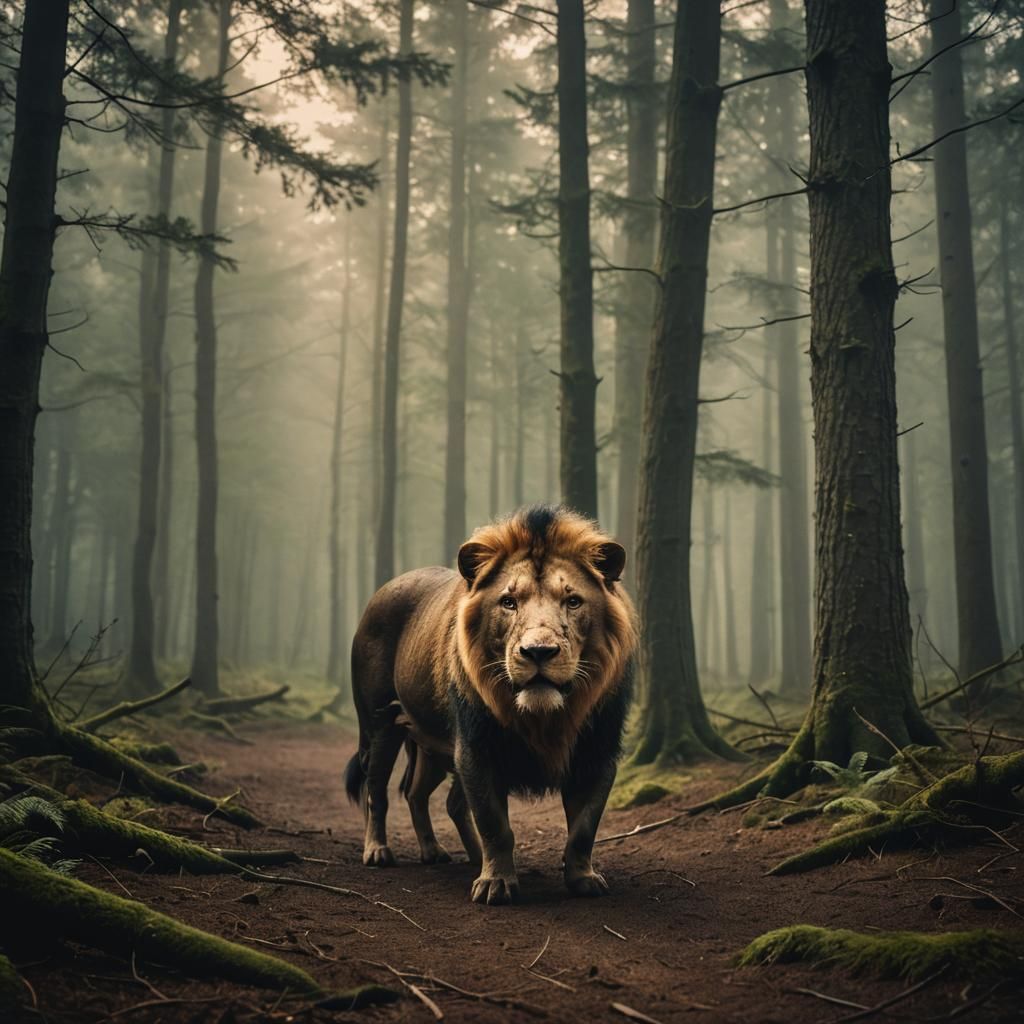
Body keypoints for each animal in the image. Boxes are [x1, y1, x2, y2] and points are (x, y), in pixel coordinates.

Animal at [343, 504, 638, 905]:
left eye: (573, 601)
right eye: (509, 602)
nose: (538, 652)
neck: (547, 718)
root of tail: (381, 591)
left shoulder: (598, 751)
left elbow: (583, 828)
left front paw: (584, 879)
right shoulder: (476, 748)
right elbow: (494, 824)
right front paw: (496, 884)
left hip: (433, 744)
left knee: (421, 794)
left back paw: (443, 852)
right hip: (380, 725)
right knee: (376, 790)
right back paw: (377, 851)